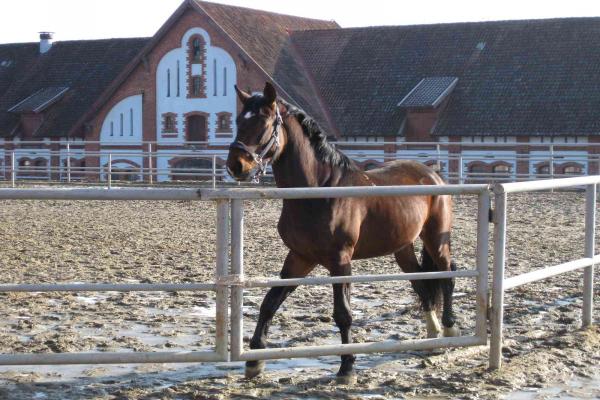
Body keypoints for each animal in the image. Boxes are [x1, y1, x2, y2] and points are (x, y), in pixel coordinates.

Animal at [226, 83, 460, 382]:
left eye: (264, 122)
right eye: (238, 121)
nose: (236, 165)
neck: (319, 190)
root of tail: (432, 173)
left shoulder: (340, 261)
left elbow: (343, 314)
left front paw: (347, 366)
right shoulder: (300, 257)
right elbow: (270, 302)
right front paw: (254, 360)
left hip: (435, 238)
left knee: (447, 273)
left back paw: (450, 329)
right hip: (403, 248)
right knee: (422, 284)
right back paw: (433, 335)